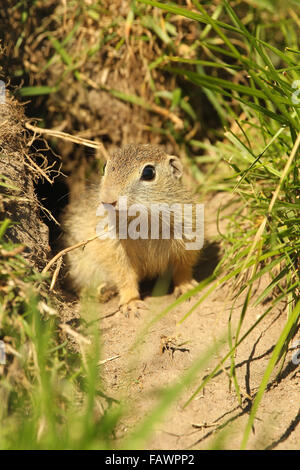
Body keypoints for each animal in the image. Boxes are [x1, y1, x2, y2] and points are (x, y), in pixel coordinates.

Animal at [61, 145, 203, 318]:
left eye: (149, 173)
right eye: (104, 167)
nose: (107, 199)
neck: (144, 217)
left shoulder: (188, 239)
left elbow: (183, 269)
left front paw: (187, 288)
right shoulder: (115, 252)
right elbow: (125, 277)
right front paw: (131, 304)